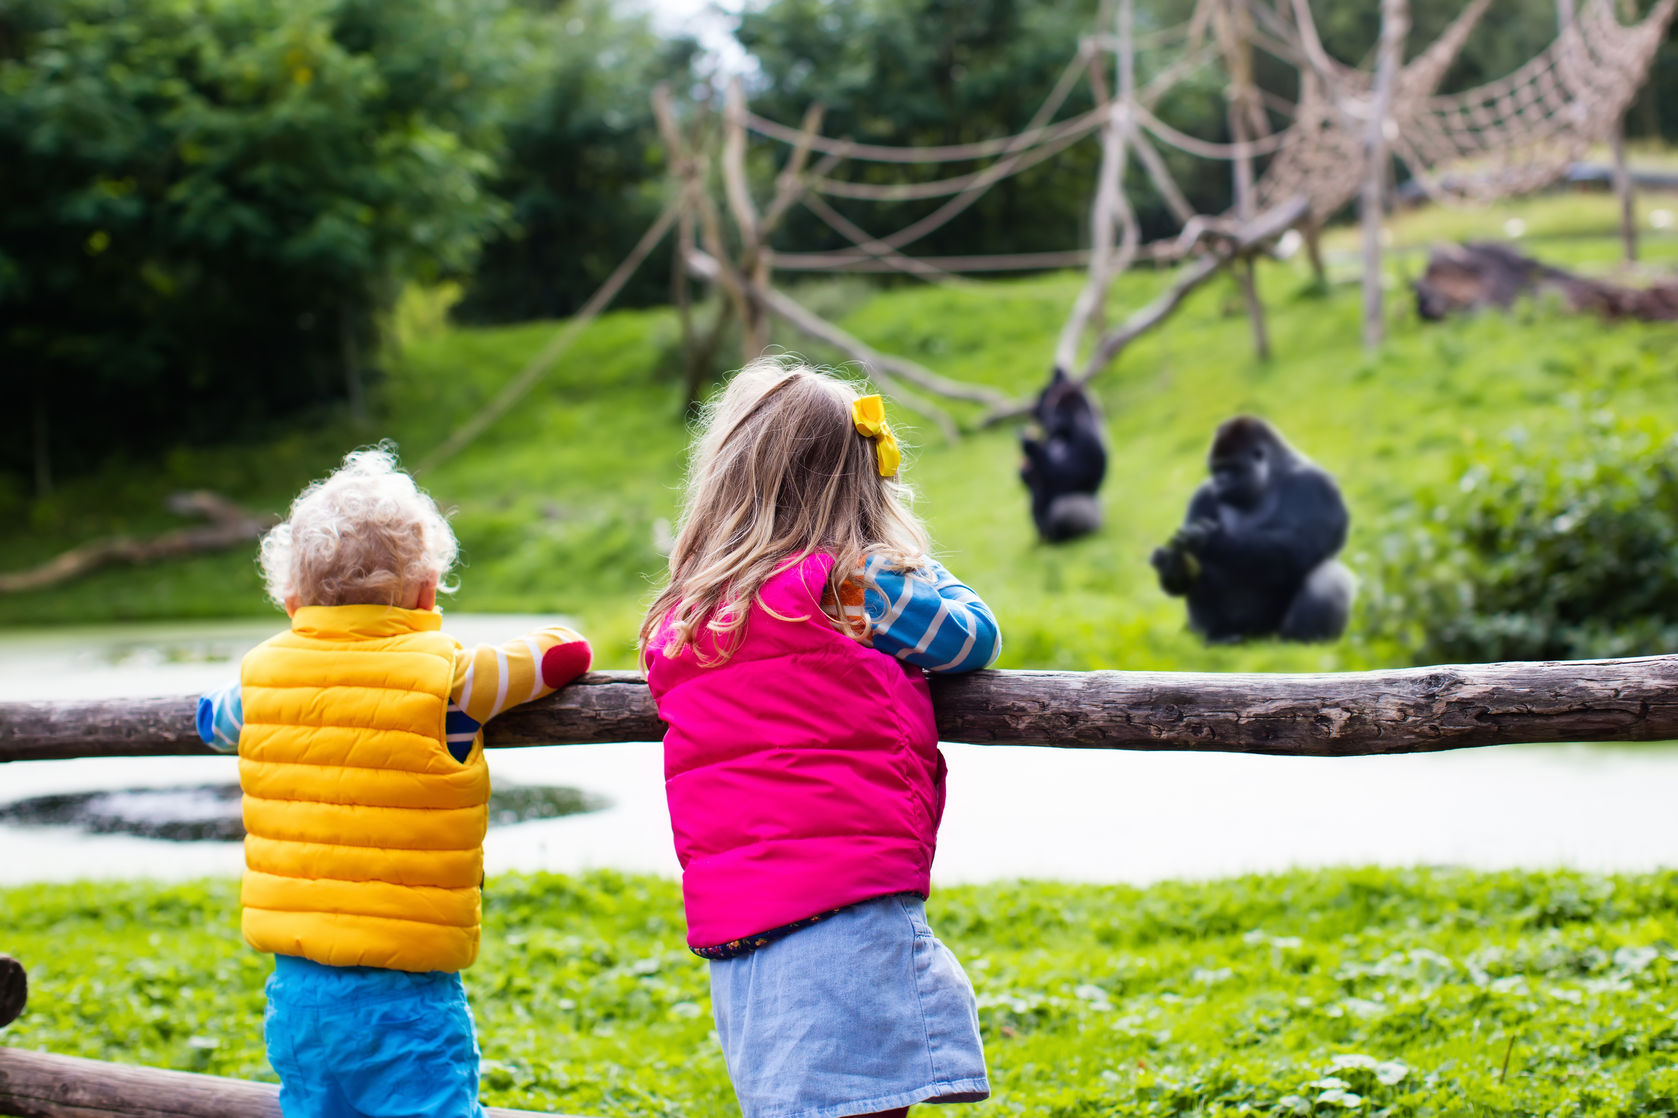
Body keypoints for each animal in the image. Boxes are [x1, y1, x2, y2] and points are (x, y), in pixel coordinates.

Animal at [1013, 365, 1107, 540]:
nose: (1033, 412)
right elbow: (1033, 478)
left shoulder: (1086, 437)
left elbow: (1066, 477)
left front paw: (1030, 445)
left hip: (1093, 520)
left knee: (1065, 508)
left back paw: (1062, 536)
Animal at [1147, 416, 1355, 644]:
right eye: (1216, 469)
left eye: (1232, 468)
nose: (1220, 480)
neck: (1272, 473)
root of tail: (1255, 638)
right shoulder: (1202, 494)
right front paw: (1173, 564)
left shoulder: (1316, 485)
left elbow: (1300, 546)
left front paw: (1209, 541)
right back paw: (1219, 636)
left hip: (1272, 633)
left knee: (1328, 574)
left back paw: (1302, 639)